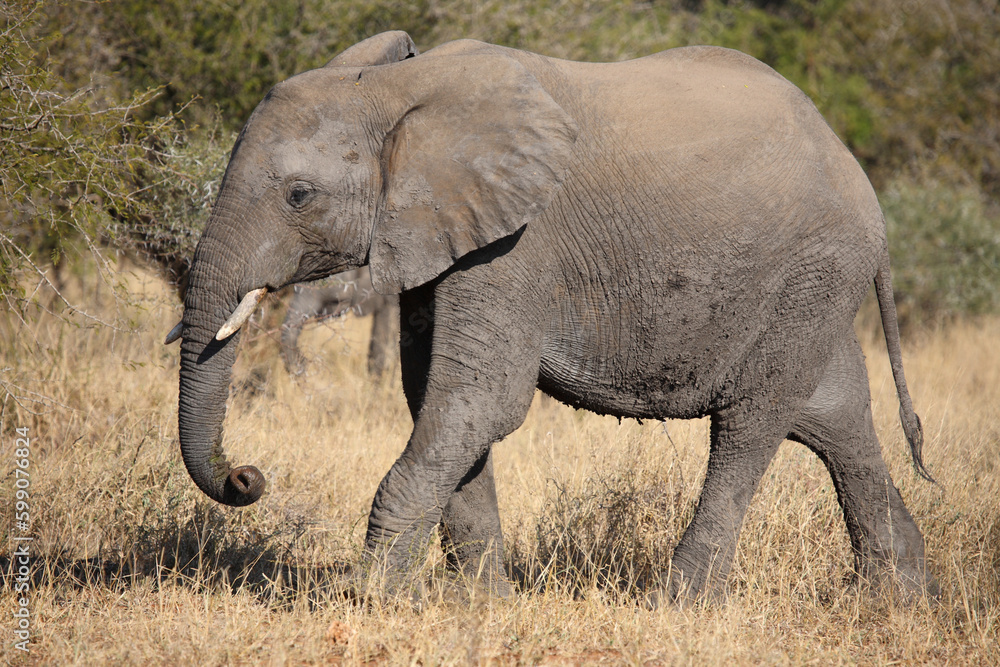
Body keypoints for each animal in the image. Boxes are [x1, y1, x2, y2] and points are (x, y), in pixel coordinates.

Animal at [166, 31, 936, 604]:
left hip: (814, 267)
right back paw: (897, 600)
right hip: (813, 283)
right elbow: (436, 400)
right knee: (834, 417)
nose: (247, 477)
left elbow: (481, 401)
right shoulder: (442, 235)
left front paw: (369, 600)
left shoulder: (518, 245)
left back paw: (679, 605)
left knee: (751, 424)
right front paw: (479, 605)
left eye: (299, 194)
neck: (399, 92)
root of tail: (854, 168)